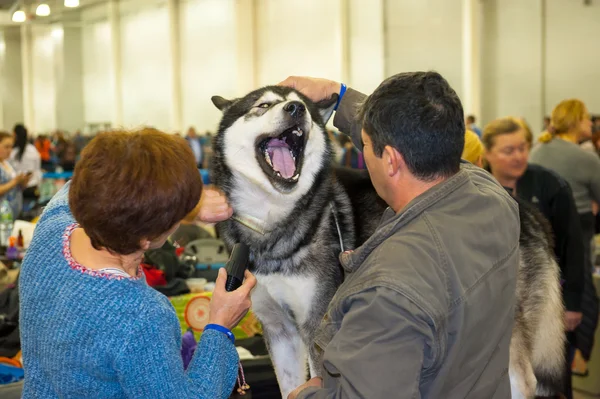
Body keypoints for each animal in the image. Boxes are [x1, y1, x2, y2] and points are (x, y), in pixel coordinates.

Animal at [211, 87, 568, 399]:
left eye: (305, 109)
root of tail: (528, 211)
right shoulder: (279, 332)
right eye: (263, 105)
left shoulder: (316, 327)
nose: (296, 110)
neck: (271, 222)